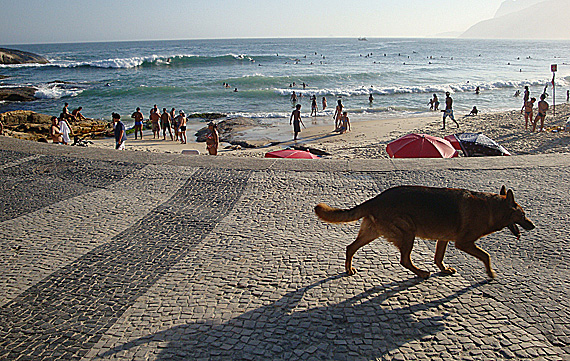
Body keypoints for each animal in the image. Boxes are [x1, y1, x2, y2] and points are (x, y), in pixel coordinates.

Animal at [316, 186, 532, 278]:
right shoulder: (464, 243)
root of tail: (376, 199)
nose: (532, 225)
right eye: (522, 215)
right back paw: (420, 273)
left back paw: (348, 269)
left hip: (372, 233)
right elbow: (486, 256)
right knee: (404, 260)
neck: (491, 207)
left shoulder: (443, 239)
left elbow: (438, 258)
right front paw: (490, 272)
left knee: (350, 248)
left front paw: (444, 269)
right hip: (407, 233)